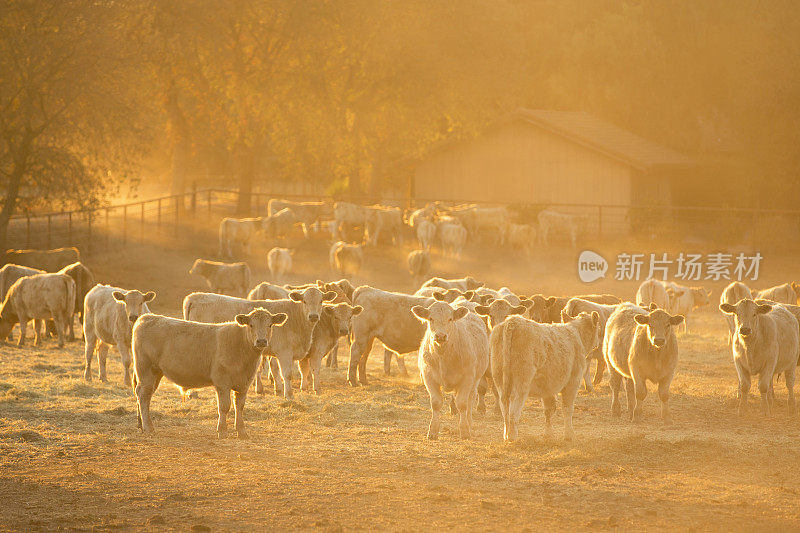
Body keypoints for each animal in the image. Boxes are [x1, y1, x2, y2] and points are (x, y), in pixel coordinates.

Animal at [134, 308, 288, 436]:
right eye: (251, 325)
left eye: (270, 325)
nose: (261, 341)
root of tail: (147, 317)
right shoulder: (222, 382)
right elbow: (224, 406)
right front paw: (222, 431)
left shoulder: (244, 384)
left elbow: (239, 406)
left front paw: (242, 432)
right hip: (145, 369)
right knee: (143, 395)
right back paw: (148, 428)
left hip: (156, 373)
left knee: (145, 395)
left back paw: (141, 425)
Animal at [183, 288, 336, 396]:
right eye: (304, 301)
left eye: (321, 301)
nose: (313, 316)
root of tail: (195, 296)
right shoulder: (284, 352)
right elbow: (287, 374)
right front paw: (289, 395)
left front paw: (280, 390)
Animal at [412, 302, 494, 438]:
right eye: (431, 318)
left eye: (450, 319)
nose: (440, 336)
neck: (443, 356)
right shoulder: (428, 376)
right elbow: (436, 403)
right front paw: (433, 431)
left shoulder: (467, 378)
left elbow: (462, 403)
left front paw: (465, 430)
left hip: (475, 379)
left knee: (470, 399)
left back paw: (469, 422)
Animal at [488, 310, 600, 438]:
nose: (598, 343)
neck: (576, 334)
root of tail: (513, 321)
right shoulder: (573, 380)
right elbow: (567, 408)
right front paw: (569, 435)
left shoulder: (547, 385)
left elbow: (548, 409)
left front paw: (548, 434)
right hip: (521, 382)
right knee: (514, 407)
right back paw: (512, 436)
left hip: (499, 379)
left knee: (504, 406)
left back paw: (506, 435)